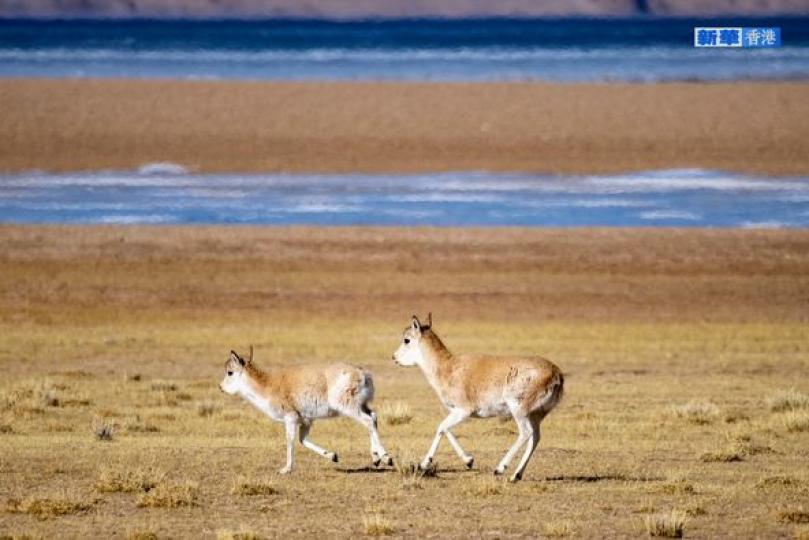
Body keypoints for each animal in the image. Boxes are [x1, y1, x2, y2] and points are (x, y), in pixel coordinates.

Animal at [216, 346, 390, 472]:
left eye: (230, 372)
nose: (220, 387)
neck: (271, 386)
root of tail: (362, 374)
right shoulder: (306, 421)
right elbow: (303, 440)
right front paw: (333, 456)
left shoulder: (290, 418)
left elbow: (290, 440)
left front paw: (285, 469)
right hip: (362, 406)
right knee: (373, 416)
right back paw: (376, 459)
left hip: (349, 408)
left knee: (368, 421)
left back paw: (387, 458)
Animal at [392, 314, 560, 484]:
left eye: (407, 339)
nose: (394, 357)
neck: (448, 367)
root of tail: (556, 374)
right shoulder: (455, 412)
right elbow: (446, 429)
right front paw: (468, 461)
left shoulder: (463, 411)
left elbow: (441, 427)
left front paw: (425, 463)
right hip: (535, 416)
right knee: (535, 438)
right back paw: (516, 475)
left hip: (519, 411)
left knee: (526, 433)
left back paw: (500, 469)